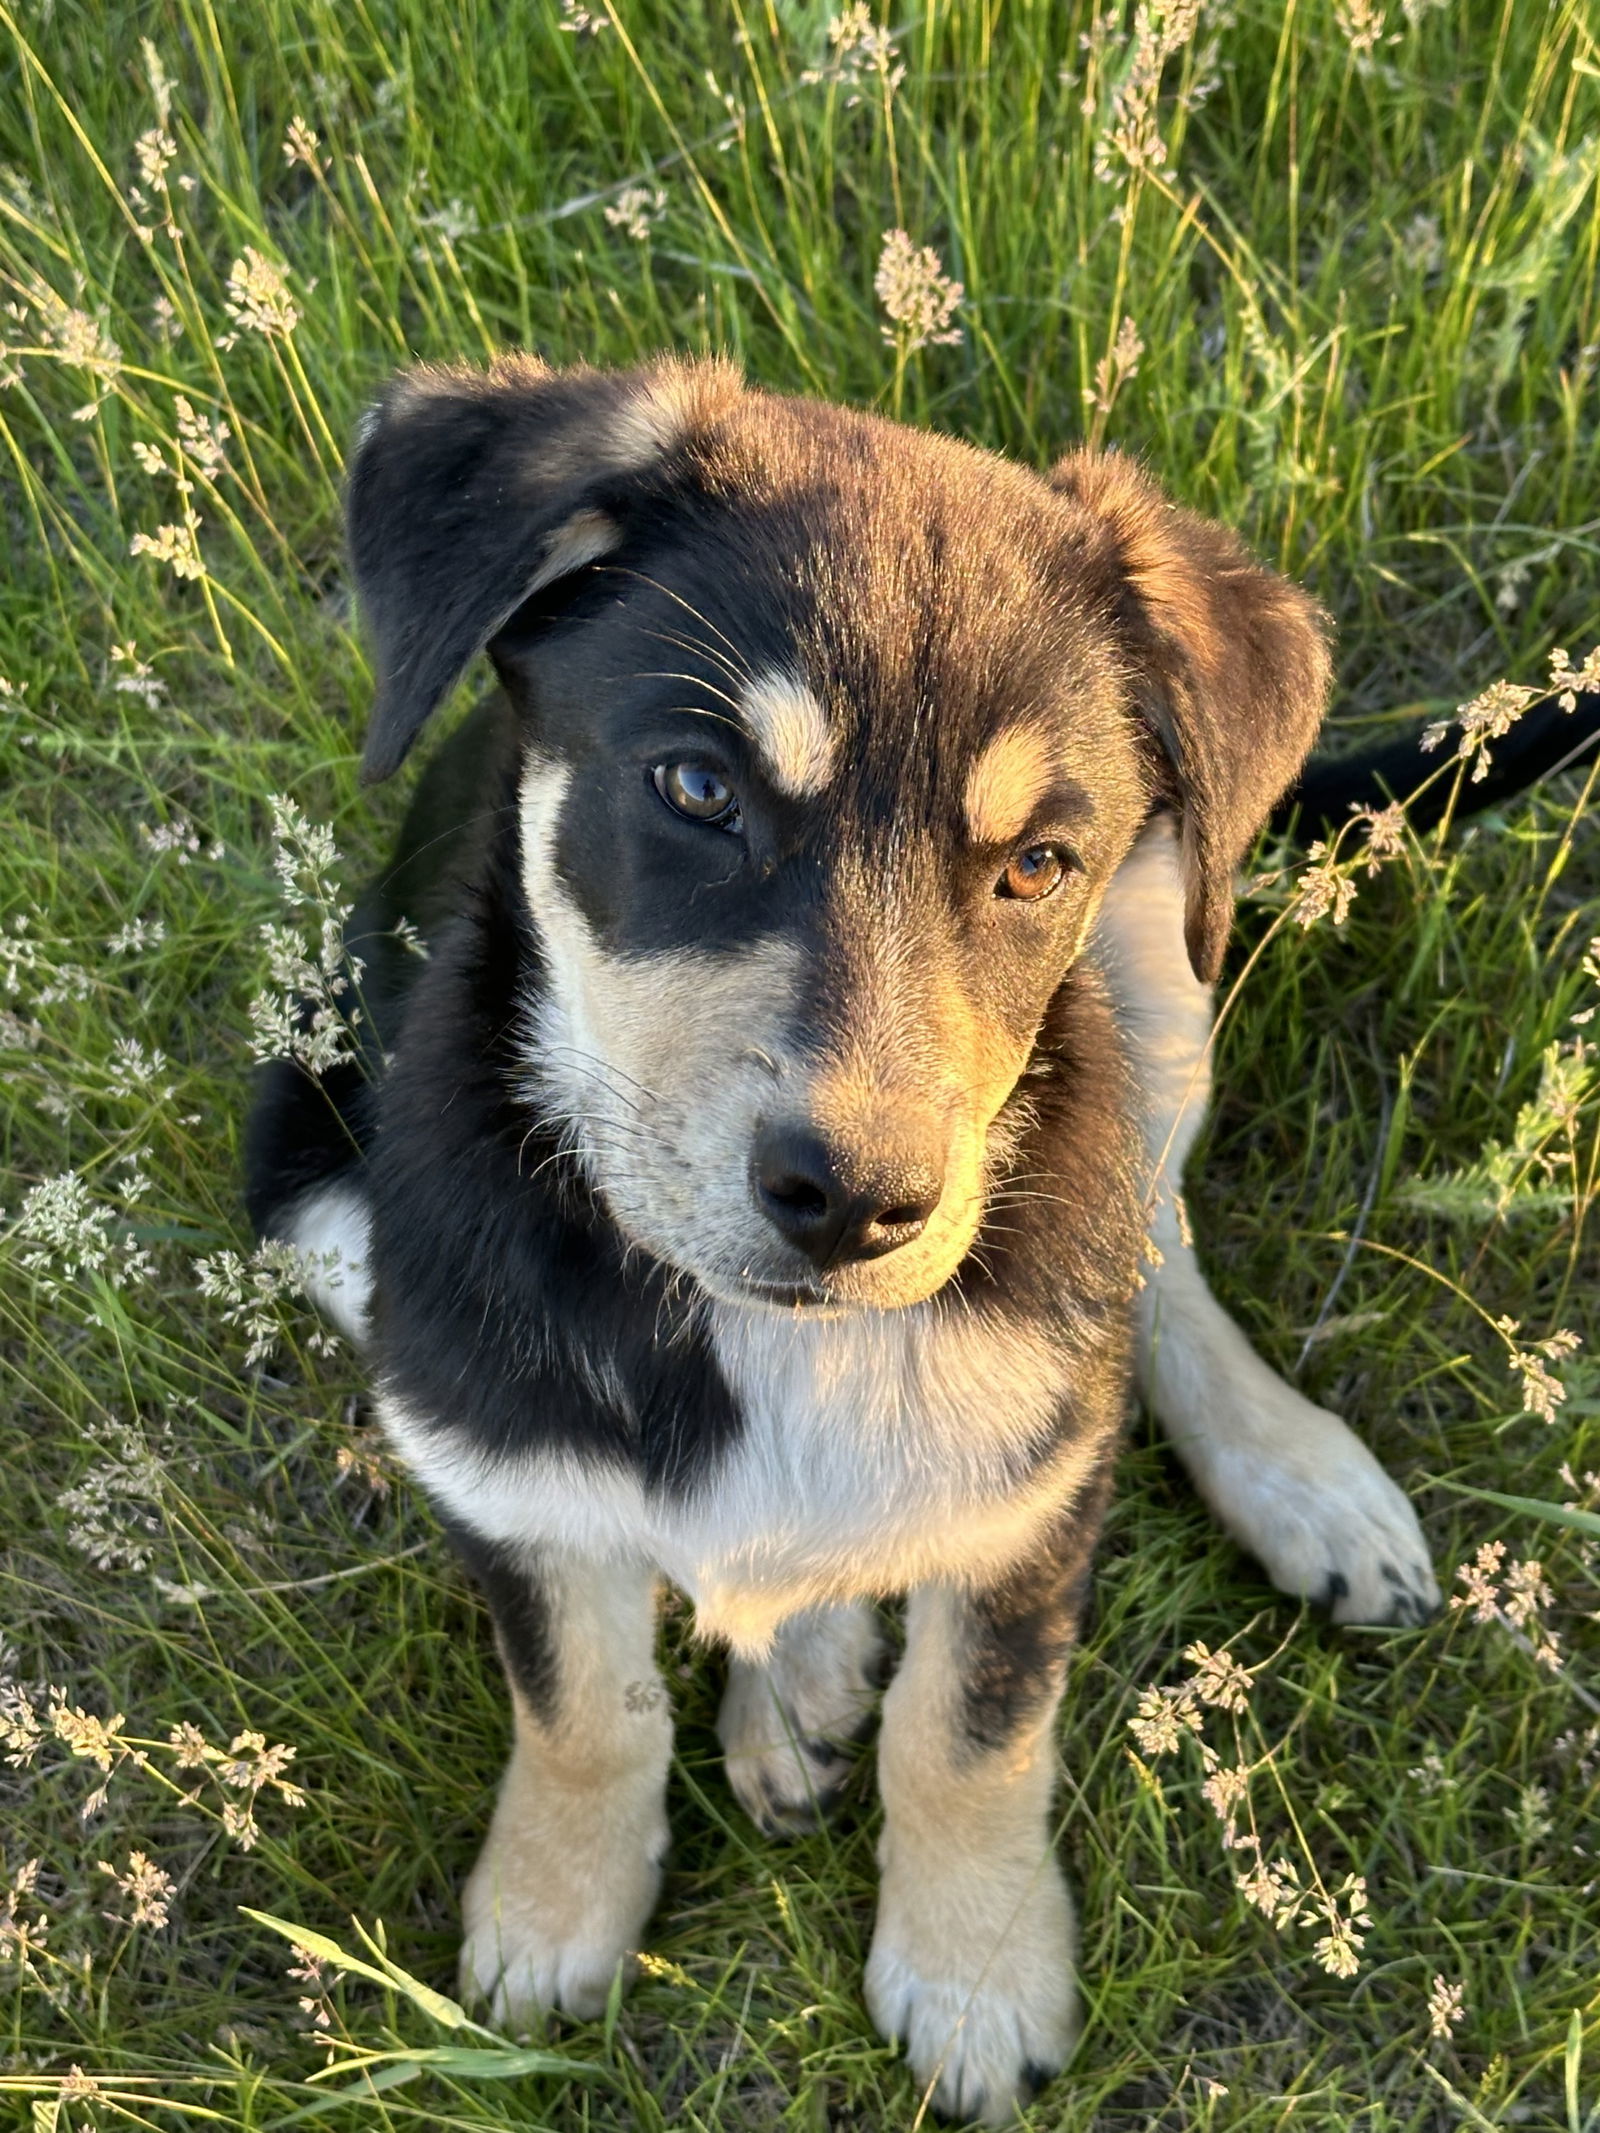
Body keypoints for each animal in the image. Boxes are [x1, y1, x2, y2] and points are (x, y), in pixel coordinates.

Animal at [247, 358, 1442, 2124]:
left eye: (1036, 863)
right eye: (695, 787)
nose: (862, 1201)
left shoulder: (1032, 1495)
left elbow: (974, 1730)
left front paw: (976, 1970)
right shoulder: (487, 1433)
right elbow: (584, 1699)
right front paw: (551, 1908)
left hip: (1159, 974)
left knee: (1143, 1257)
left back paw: (1291, 1480)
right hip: (314, 1188)